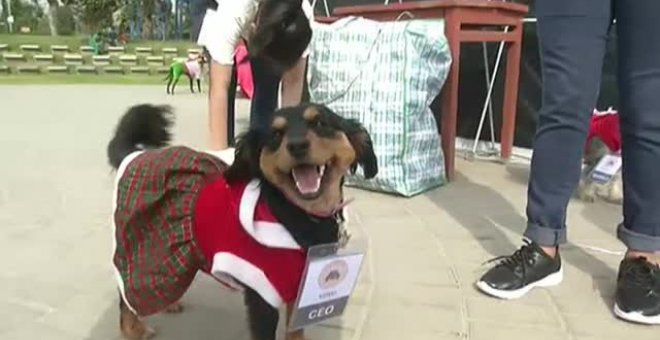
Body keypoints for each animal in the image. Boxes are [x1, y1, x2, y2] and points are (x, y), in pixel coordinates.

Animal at [107, 102, 376, 338]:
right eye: (275, 135)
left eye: (320, 122)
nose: (297, 145)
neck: (299, 216)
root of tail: (135, 155)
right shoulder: (262, 297)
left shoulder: (299, 287)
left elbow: (295, 332)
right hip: (142, 245)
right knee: (126, 293)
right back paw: (133, 329)